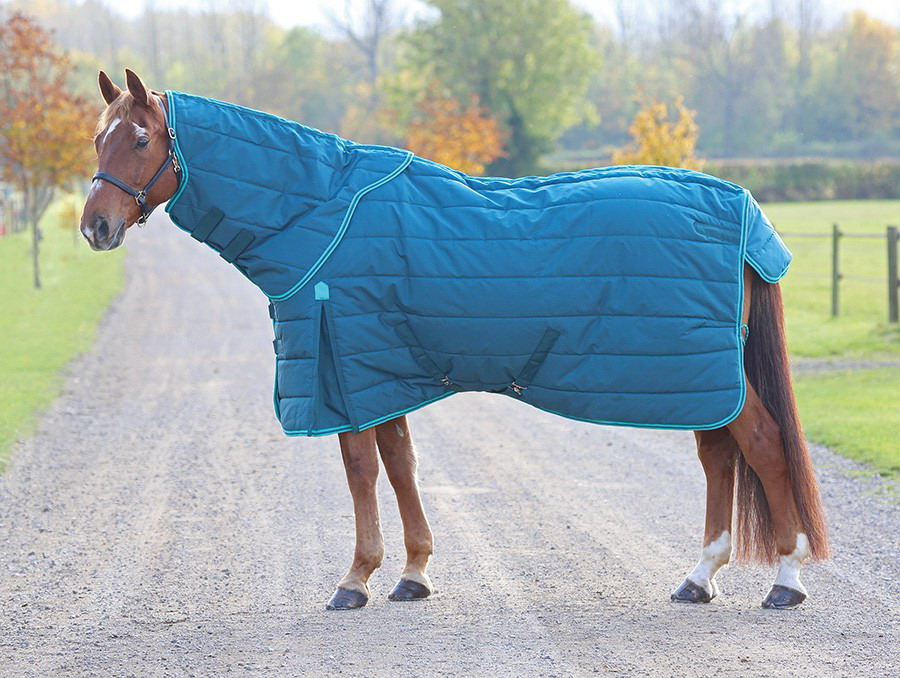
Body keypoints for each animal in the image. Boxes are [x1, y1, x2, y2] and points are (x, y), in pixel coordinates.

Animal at [80, 69, 829, 611]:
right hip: (698, 378)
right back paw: (699, 577)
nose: (94, 227)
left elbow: (362, 470)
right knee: (720, 457)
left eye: (140, 140)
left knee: (762, 445)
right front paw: (413, 574)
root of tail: (739, 203)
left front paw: (356, 580)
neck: (323, 214)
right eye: (96, 139)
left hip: (702, 374)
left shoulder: (345, 370)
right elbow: (401, 464)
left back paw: (786, 581)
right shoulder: (383, 373)